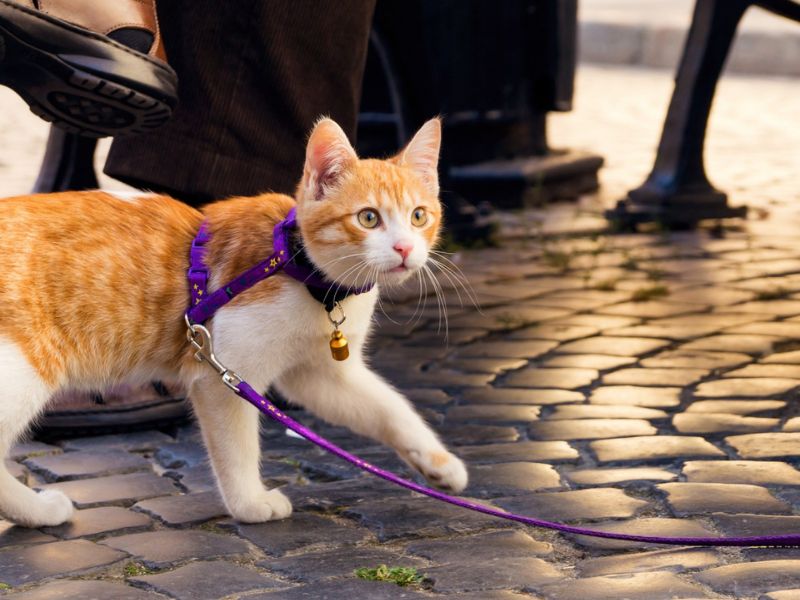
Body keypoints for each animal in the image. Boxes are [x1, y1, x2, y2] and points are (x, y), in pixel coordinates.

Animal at [0, 118, 466, 528]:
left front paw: (440, 464)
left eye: (419, 216)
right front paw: (250, 503)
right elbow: (238, 448)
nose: (405, 248)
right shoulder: (222, 373)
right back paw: (39, 512)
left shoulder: (319, 375)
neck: (307, 274)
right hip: (22, 370)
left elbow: (389, 408)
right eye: (368, 218)